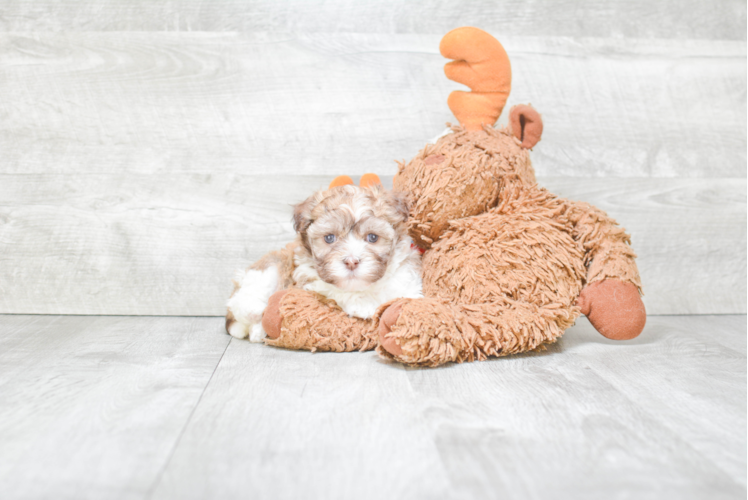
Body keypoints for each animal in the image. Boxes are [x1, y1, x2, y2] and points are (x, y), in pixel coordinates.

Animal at [224, 184, 420, 344]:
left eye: (372, 237)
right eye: (329, 238)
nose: (351, 261)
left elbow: (402, 286)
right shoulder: (307, 276)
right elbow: (335, 290)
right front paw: (363, 304)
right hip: (268, 270)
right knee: (242, 303)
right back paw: (256, 316)